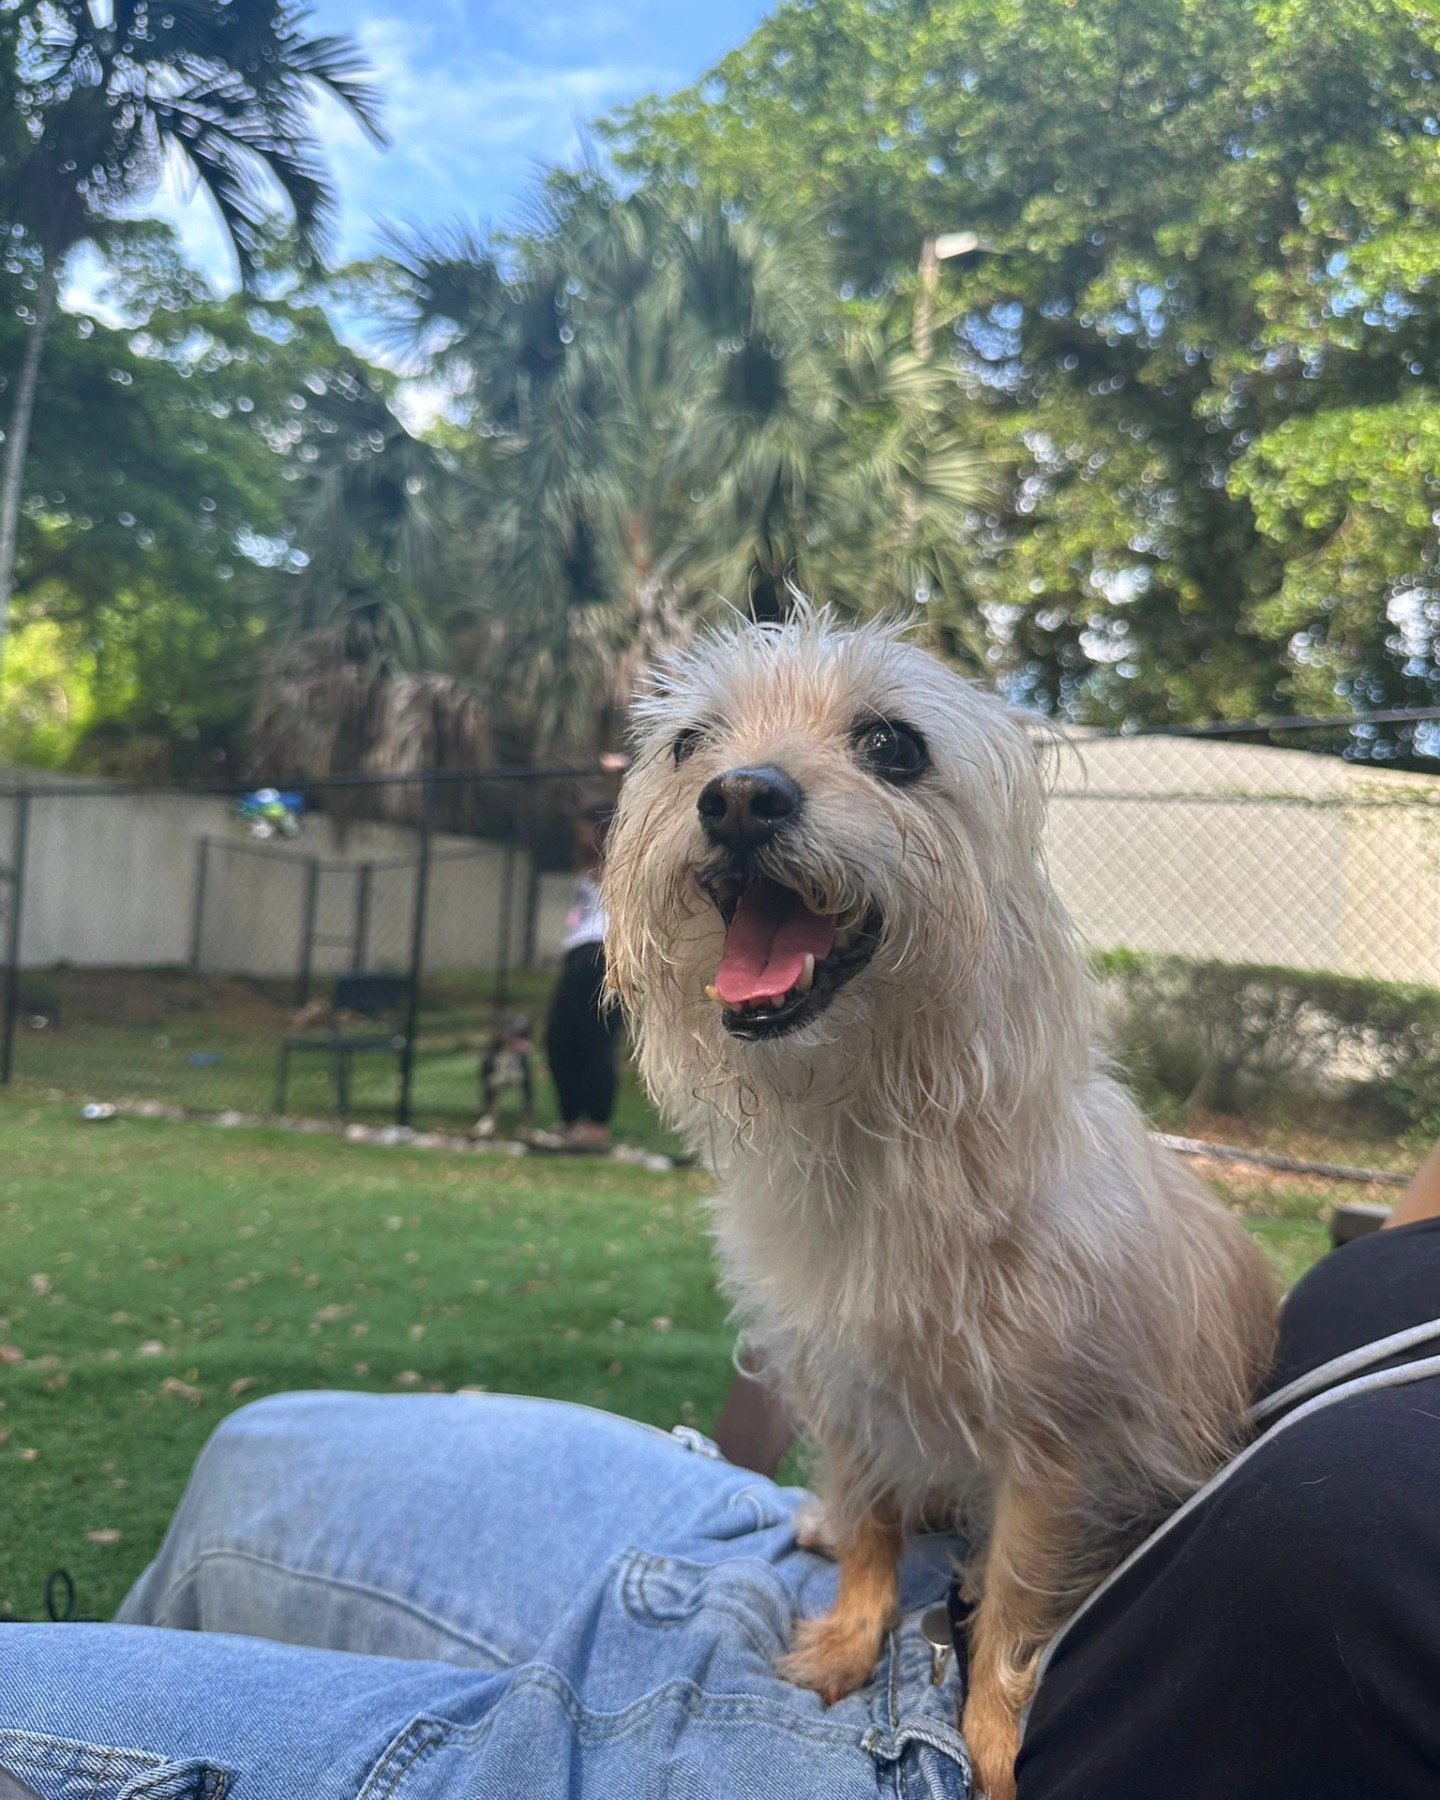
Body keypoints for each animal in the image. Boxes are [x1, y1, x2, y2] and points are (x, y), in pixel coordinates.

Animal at [601, 608, 1274, 1800]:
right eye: (689, 745)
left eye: (893, 747)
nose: (739, 796)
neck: (876, 1144)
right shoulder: (844, 1394)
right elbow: (873, 1527)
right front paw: (848, 1637)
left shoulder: (1059, 1449)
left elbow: (1011, 1603)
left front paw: (995, 1741)